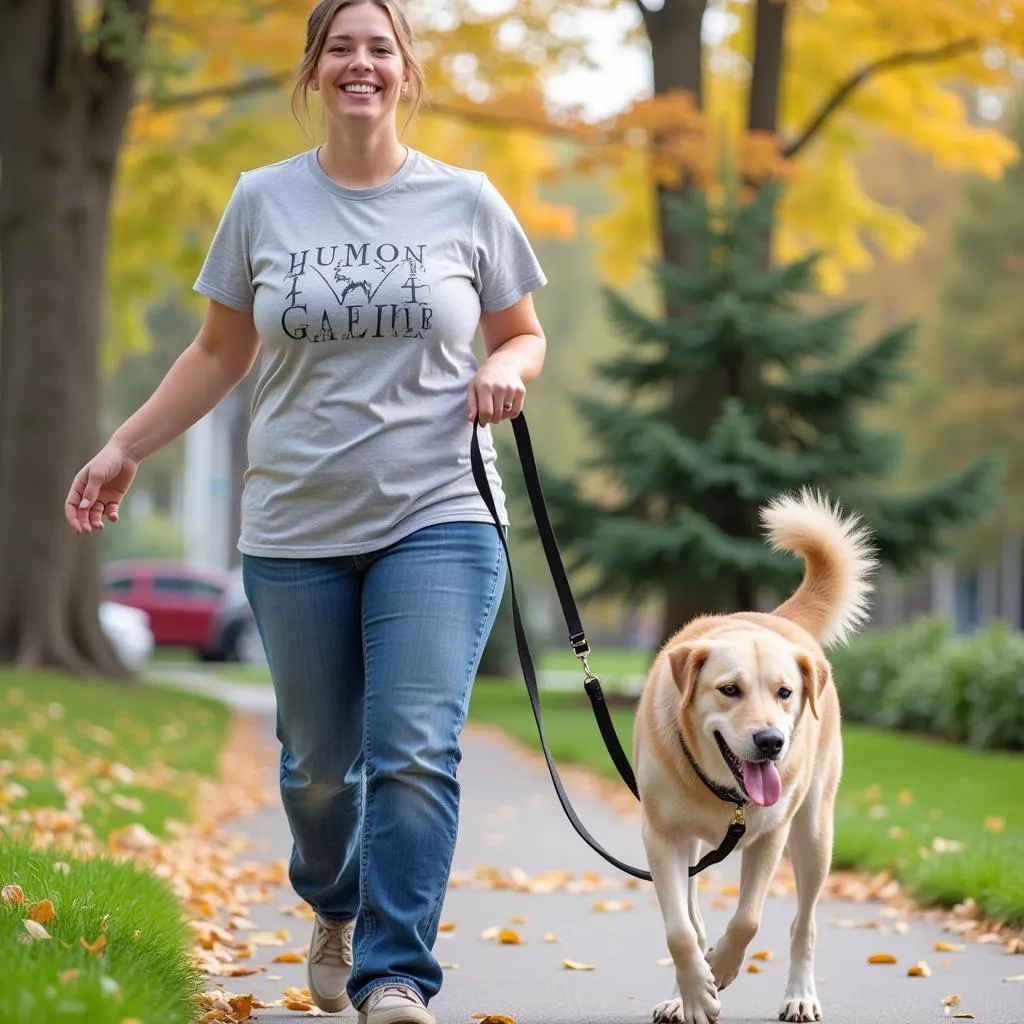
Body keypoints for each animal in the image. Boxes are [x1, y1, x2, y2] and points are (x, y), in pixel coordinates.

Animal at [634, 487, 876, 1024]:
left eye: (785, 693)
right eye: (730, 690)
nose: (770, 742)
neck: (725, 790)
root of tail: (777, 619)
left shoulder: (770, 836)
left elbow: (748, 920)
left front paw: (720, 968)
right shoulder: (662, 836)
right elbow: (680, 929)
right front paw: (696, 992)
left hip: (814, 834)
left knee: (803, 924)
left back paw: (800, 994)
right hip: (694, 849)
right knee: (692, 917)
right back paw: (684, 991)